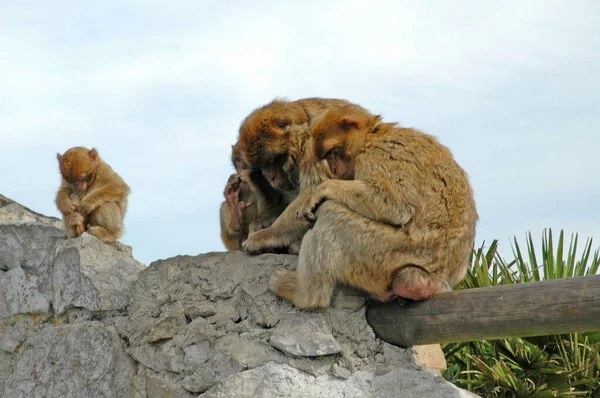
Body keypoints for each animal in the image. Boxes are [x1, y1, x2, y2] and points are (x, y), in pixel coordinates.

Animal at [238, 97, 358, 253]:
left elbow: (313, 190)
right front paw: (260, 224)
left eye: (274, 160)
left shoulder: (314, 147)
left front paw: (265, 235)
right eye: (263, 166)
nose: (271, 178)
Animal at [272, 105, 478, 308]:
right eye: (327, 157)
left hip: (387, 251)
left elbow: (396, 205)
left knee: (330, 213)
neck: (373, 136)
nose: (333, 169)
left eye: (332, 153)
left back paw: (305, 296)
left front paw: (320, 191)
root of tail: (438, 279)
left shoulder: (378, 153)